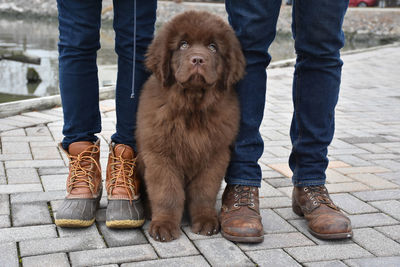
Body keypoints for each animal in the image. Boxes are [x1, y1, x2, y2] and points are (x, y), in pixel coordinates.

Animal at [136, 11, 245, 243]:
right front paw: (164, 225)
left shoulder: (215, 155)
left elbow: (204, 191)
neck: (192, 108)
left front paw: (205, 221)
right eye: (183, 44)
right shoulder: (160, 155)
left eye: (213, 47)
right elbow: (167, 193)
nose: (197, 59)